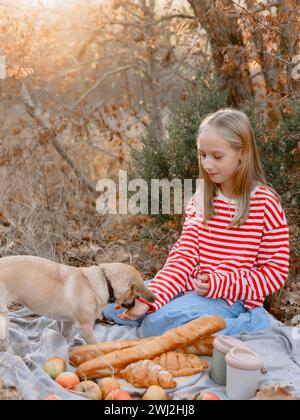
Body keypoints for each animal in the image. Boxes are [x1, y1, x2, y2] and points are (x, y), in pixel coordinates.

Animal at [0, 256, 155, 348]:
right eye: (136, 295)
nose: (134, 305)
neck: (105, 282)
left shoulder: (68, 322)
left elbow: (67, 336)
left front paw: (69, 346)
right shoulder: (85, 327)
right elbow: (93, 343)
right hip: (3, 319)